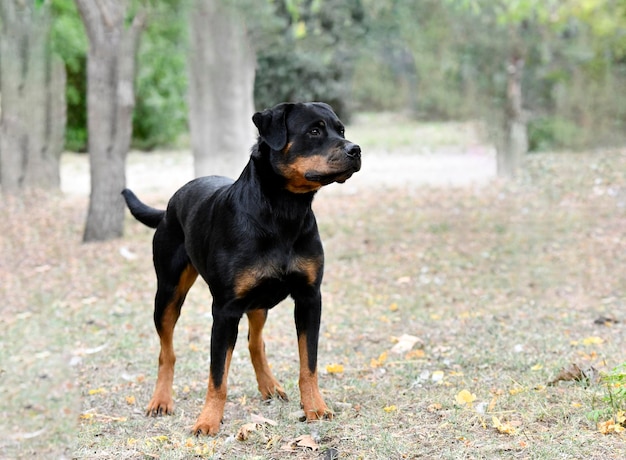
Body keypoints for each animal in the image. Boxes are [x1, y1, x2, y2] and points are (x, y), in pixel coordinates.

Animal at [120, 101, 360, 434]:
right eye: (314, 131)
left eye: (341, 130)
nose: (356, 149)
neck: (283, 212)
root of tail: (170, 204)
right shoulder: (225, 310)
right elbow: (217, 375)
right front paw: (207, 421)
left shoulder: (310, 297)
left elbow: (308, 364)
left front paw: (315, 408)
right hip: (167, 293)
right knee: (166, 351)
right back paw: (161, 400)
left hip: (258, 302)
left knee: (255, 342)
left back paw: (269, 386)